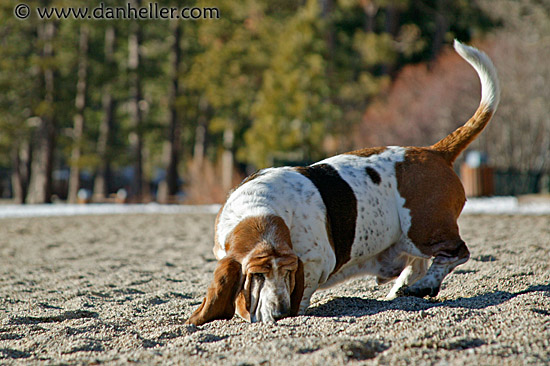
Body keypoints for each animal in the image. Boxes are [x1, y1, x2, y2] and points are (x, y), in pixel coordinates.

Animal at [188, 40, 502, 326]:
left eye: (288, 271)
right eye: (256, 275)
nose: (280, 314)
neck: (259, 207)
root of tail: (435, 151)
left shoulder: (313, 263)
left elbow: (302, 290)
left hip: (424, 230)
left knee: (456, 253)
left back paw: (422, 286)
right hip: (411, 239)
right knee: (419, 264)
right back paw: (403, 290)